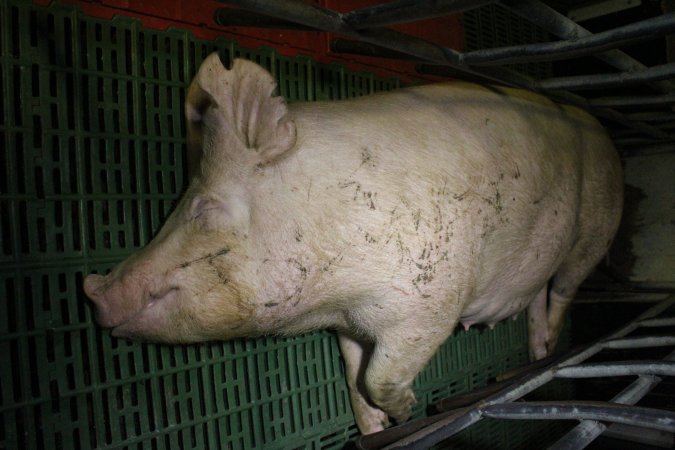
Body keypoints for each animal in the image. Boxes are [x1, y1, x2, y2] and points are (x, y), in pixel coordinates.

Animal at [83, 53, 624, 436]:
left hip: (595, 229)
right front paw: (372, 428)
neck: (334, 298)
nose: (94, 289)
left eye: (202, 207)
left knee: (564, 289)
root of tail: (601, 130)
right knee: (537, 294)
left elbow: (379, 374)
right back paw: (537, 352)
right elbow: (351, 370)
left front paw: (406, 412)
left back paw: (550, 341)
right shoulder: (348, 324)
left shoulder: (428, 304)